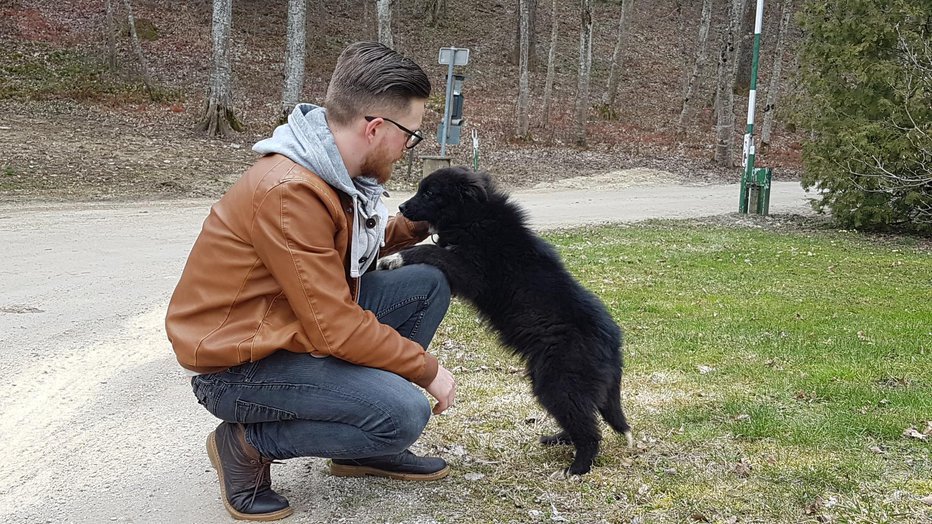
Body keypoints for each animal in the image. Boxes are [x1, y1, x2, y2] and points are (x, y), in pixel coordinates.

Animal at [378, 168, 632, 474]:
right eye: (419, 189)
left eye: (429, 193)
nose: (401, 208)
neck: (476, 217)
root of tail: (612, 345)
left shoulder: (471, 272)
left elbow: (432, 251)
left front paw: (395, 258)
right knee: (584, 417)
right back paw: (559, 439)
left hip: (558, 382)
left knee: (589, 429)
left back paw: (577, 468)